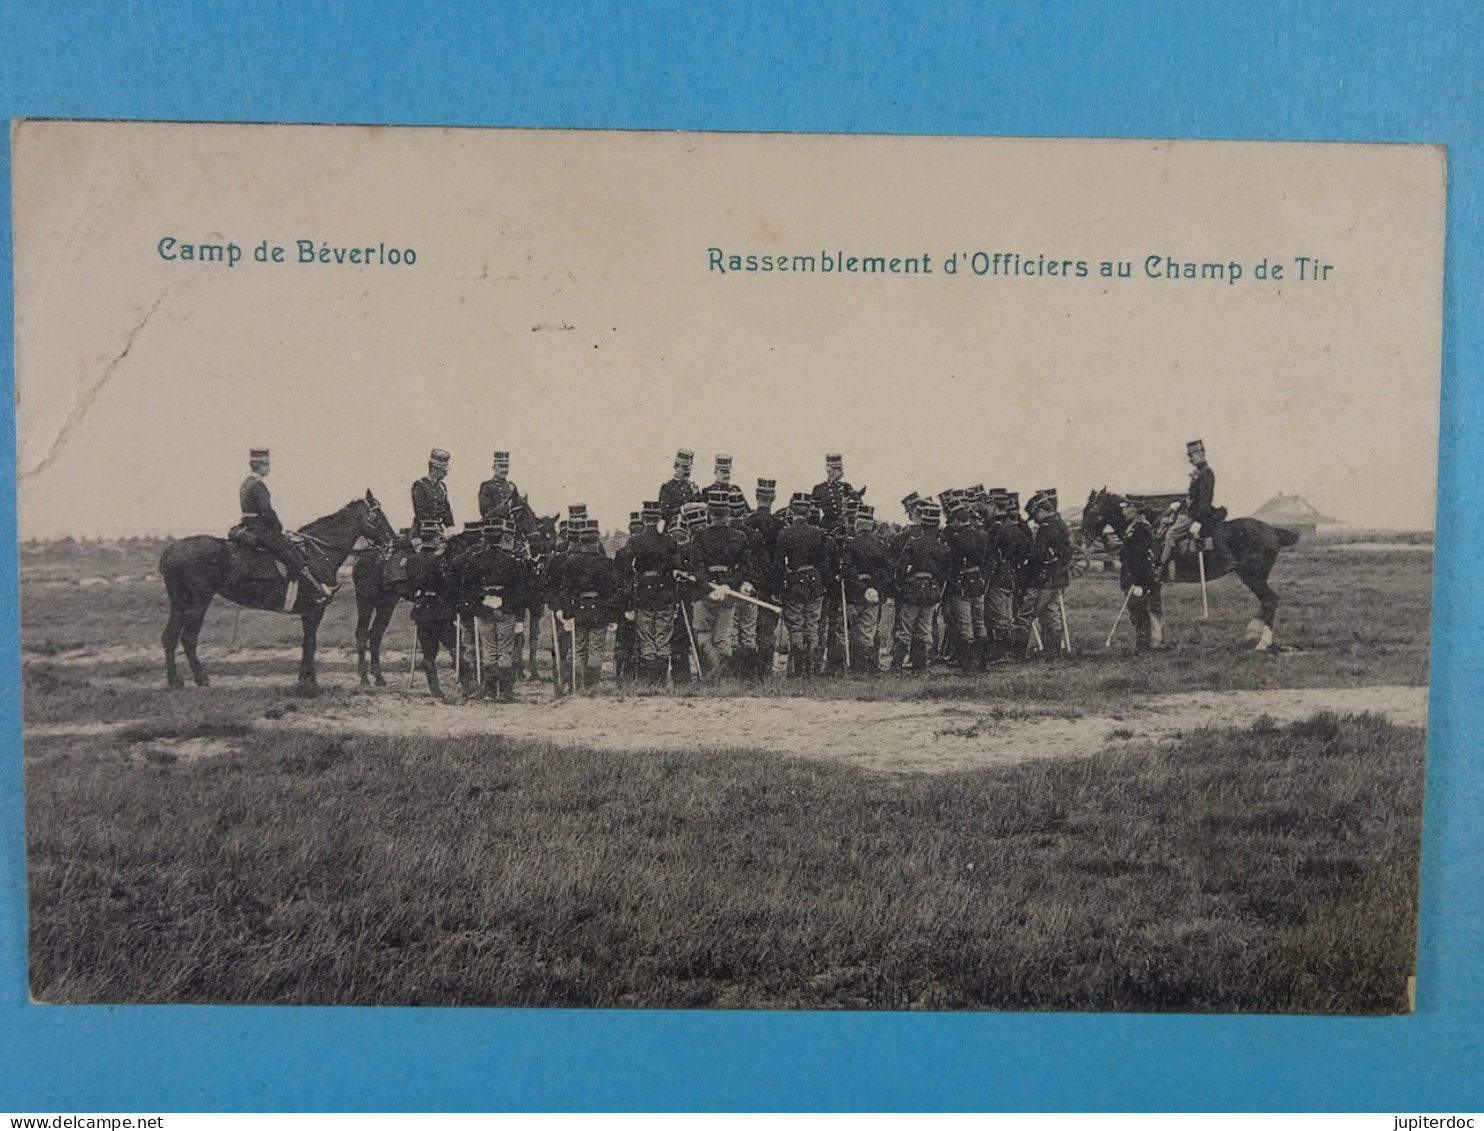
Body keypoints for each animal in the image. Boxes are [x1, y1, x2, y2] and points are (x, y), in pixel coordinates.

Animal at [159, 486, 391, 682]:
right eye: (379, 516)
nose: (393, 540)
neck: (318, 551)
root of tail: (172, 548)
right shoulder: (316, 609)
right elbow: (311, 643)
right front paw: (310, 683)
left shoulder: (308, 612)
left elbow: (308, 642)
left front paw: (304, 679)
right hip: (198, 602)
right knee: (188, 638)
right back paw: (201, 679)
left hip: (179, 603)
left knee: (169, 637)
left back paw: (175, 681)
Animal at [350, 495, 557, 688]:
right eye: (521, 512)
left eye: (532, 513)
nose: (538, 546)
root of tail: (365, 553)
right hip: (366, 601)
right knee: (361, 634)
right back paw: (364, 678)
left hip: (386, 603)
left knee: (375, 635)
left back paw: (378, 677)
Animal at [1080, 486, 1299, 653]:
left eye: (1092, 511)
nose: (1083, 536)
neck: (1148, 529)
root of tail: (1273, 531)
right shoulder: (1153, 584)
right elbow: (1156, 610)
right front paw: (1158, 642)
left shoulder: (1151, 581)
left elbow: (1153, 611)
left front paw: (1155, 642)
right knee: (1269, 602)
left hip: (1253, 577)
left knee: (1270, 601)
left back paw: (1260, 639)